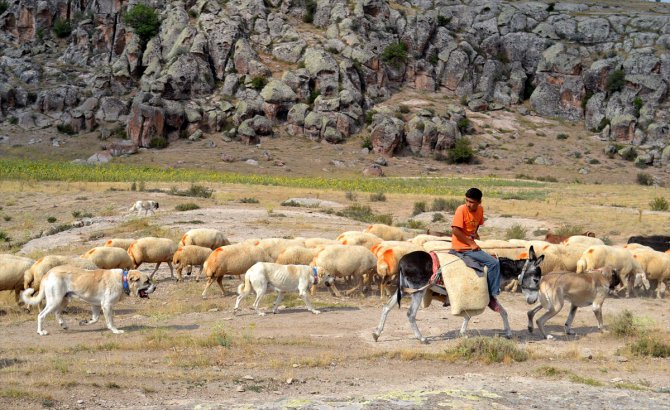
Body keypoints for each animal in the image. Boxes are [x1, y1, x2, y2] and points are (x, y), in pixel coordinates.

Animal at [21, 264, 156, 334]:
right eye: (146, 281)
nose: (155, 287)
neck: (122, 280)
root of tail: (48, 273)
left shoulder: (95, 305)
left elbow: (95, 319)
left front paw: (85, 322)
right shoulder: (107, 305)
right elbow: (110, 321)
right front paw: (115, 330)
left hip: (64, 300)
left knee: (57, 313)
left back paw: (63, 325)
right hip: (55, 300)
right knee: (41, 315)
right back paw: (41, 331)